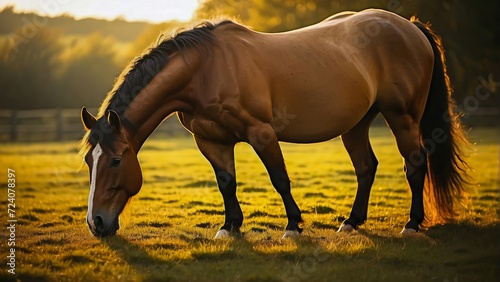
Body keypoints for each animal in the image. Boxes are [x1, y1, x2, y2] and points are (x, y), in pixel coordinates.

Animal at [80, 9, 470, 238]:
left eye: (116, 160)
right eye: (88, 162)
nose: (96, 223)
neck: (205, 69)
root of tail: (408, 25)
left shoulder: (261, 133)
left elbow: (279, 179)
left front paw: (294, 226)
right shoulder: (212, 141)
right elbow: (226, 183)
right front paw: (230, 227)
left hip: (402, 116)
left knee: (415, 164)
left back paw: (412, 224)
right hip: (357, 124)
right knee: (366, 167)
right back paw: (351, 222)